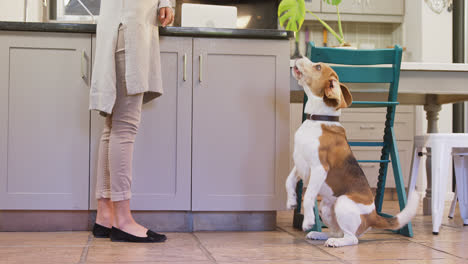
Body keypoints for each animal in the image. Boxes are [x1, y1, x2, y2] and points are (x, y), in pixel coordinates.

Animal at [288, 57, 418, 248]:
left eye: (317, 66)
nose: (298, 57)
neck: (317, 119)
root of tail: (374, 216)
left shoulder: (319, 168)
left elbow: (309, 195)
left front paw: (308, 220)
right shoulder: (299, 164)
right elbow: (288, 182)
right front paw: (291, 201)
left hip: (343, 202)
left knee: (352, 238)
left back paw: (335, 242)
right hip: (326, 206)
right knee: (338, 232)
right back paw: (321, 235)